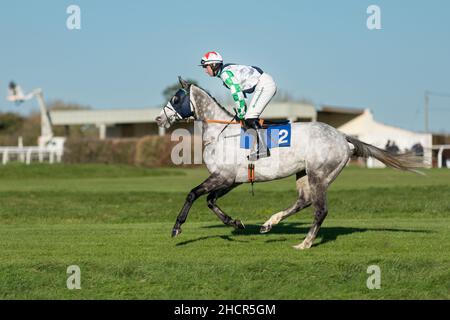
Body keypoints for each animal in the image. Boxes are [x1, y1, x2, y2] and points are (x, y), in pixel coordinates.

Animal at [155, 77, 422, 250]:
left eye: (176, 98)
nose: (158, 118)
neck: (222, 133)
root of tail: (342, 136)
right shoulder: (232, 180)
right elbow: (210, 201)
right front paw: (236, 223)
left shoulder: (223, 177)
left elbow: (192, 194)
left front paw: (177, 228)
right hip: (303, 173)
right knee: (304, 201)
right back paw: (269, 224)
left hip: (319, 174)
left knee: (320, 209)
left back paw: (305, 243)